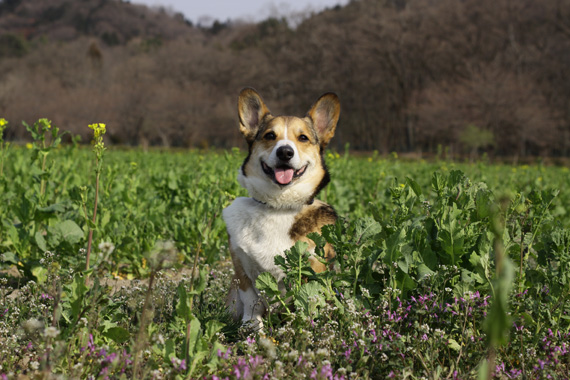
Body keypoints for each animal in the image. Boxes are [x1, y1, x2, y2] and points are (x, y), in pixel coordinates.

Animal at [221, 87, 338, 326]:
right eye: (269, 136)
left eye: (303, 138)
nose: (285, 152)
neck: (278, 206)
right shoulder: (241, 268)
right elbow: (251, 303)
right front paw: (251, 328)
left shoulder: (314, 268)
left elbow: (308, 301)